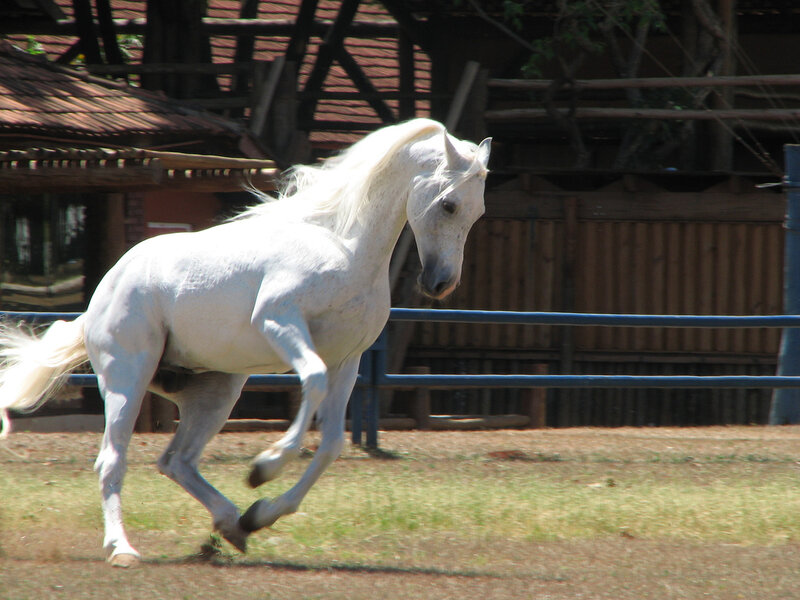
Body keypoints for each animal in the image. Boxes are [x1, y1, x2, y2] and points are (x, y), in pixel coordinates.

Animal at [0, 118, 491, 567]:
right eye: (449, 205)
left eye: (478, 213)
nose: (440, 283)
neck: (343, 245)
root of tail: (98, 300)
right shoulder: (281, 323)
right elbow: (311, 383)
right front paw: (264, 466)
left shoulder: (347, 362)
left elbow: (331, 444)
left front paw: (263, 511)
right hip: (128, 380)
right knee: (112, 460)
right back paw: (122, 548)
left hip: (216, 392)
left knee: (176, 461)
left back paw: (234, 524)